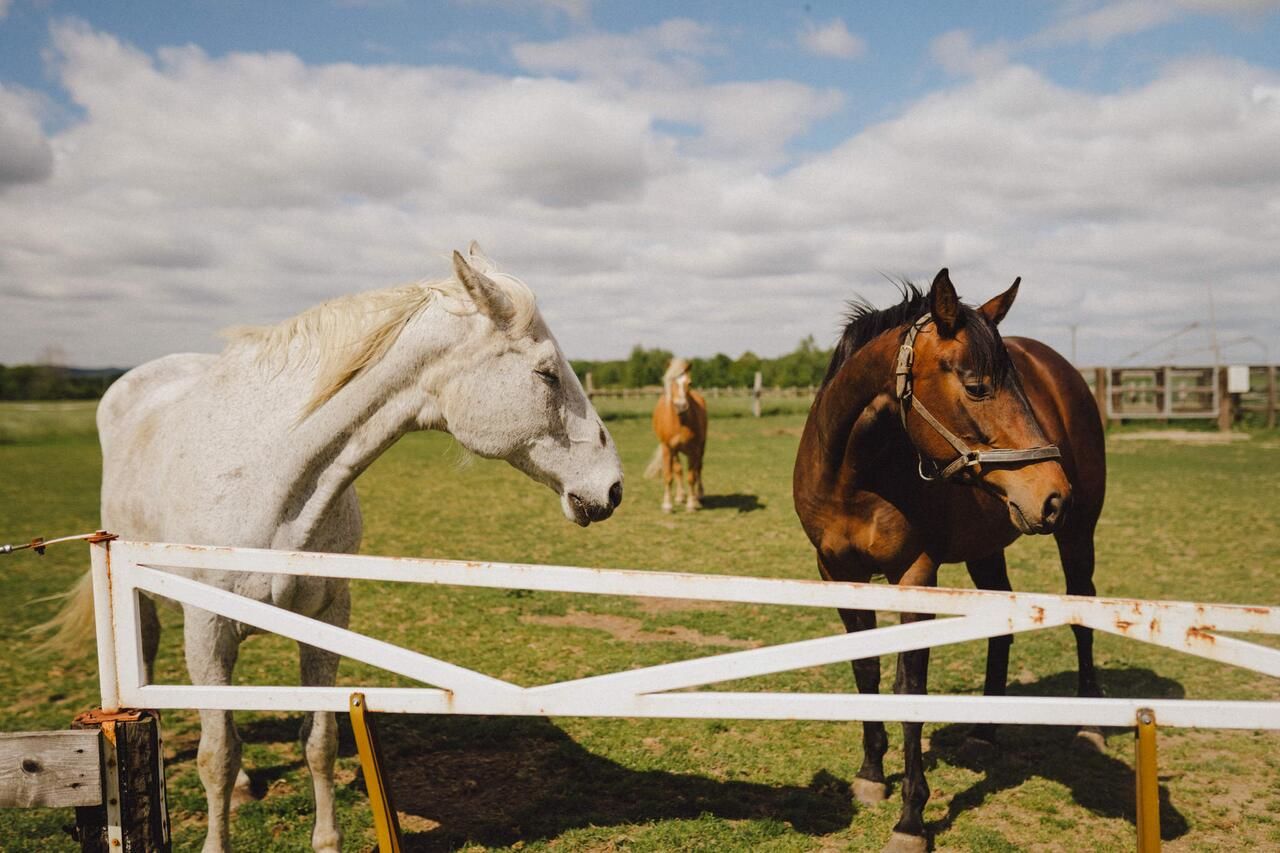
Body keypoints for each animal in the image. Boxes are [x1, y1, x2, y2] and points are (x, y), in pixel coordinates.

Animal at [48, 240, 624, 850]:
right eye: (546, 373)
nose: (611, 487)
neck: (272, 481)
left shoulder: (326, 618)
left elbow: (317, 741)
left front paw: (326, 837)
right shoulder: (208, 627)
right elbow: (217, 754)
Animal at [645, 356, 706, 507]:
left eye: (689, 383)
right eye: (671, 382)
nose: (681, 406)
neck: (680, 423)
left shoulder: (694, 449)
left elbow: (692, 476)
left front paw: (691, 503)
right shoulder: (668, 448)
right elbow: (669, 475)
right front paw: (668, 504)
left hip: (701, 446)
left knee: (698, 469)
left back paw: (699, 495)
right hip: (675, 451)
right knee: (678, 470)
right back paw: (680, 496)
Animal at [788, 267, 1100, 850]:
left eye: (1018, 387)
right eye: (977, 386)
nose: (1053, 496)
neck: (857, 476)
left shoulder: (915, 575)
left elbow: (911, 686)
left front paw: (911, 819)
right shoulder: (837, 572)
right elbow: (866, 667)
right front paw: (870, 775)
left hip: (1078, 534)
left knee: (1083, 608)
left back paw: (1091, 721)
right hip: (988, 546)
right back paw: (984, 731)